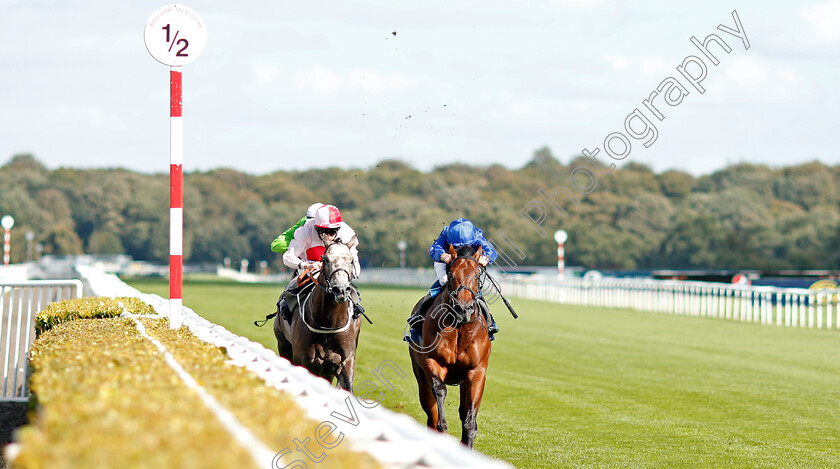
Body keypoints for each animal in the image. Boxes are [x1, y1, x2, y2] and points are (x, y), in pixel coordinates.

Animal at [272, 239, 358, 390]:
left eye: (351, 260)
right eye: (325, 259)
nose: (341, 289)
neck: (329, 324)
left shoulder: (344, 363)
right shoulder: (303, 360)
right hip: (283, 344)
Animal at [408, 241, 492, 446]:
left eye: (477, 275)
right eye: (452, 274)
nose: (464, 309)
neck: (460, 327)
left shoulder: (476, 372)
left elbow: (469, 422)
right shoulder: (433, 362)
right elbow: (440, 394)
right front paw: (443, 427)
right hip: (420, 375)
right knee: (430, 414)